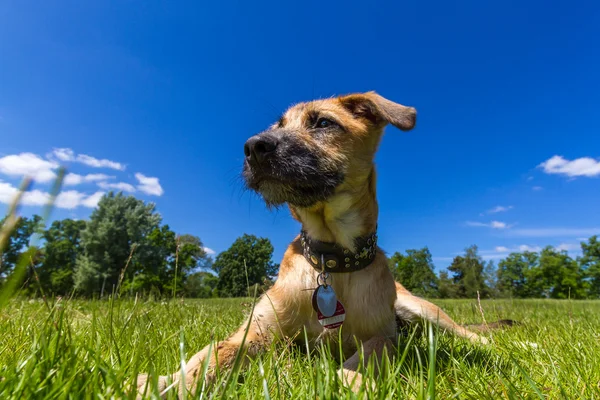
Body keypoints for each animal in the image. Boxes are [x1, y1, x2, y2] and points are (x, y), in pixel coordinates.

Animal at [137, 91, 506, 396]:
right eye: (278, 125)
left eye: (324, 123)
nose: (253, 147)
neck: (332, 260)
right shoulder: (255, 331)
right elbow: (213, 354)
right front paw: (168, 383)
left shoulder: (384, 335)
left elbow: (370, 353)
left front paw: (346, 381)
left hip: (423, 310)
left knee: (474, 335)